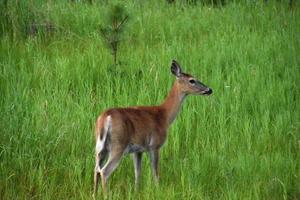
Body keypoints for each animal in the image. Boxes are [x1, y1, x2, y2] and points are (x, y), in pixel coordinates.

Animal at [92, 59, 212, 197]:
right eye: (192, 80)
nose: (209, 89)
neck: (164, 115)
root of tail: (105, 118)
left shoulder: (138, 150)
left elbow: (137, 173)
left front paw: (137, 192)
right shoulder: (155, 145)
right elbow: (155, 173)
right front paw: (158, 190)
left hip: (100, 147)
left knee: (96, 169)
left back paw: (94, 194)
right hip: (118, 145)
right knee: (104, 171)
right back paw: (106, 195)